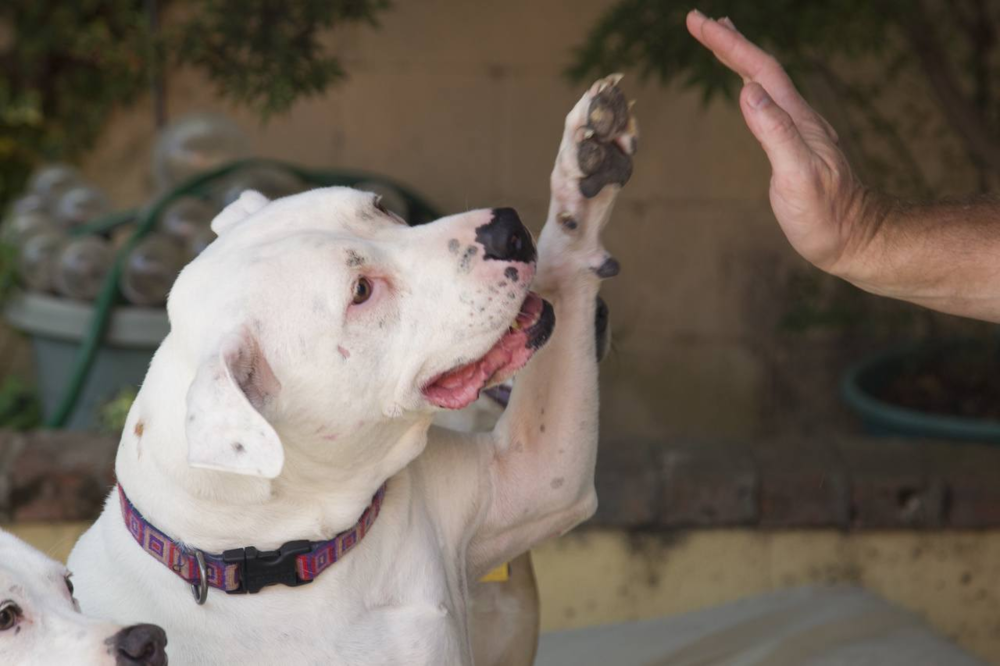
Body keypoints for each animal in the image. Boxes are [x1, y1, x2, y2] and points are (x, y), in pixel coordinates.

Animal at [70, 75, 636, 660]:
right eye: (361, 291)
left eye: (380, 207)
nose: (507, 230)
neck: (286, 559)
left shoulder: (539, 475)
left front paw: (586, 167)